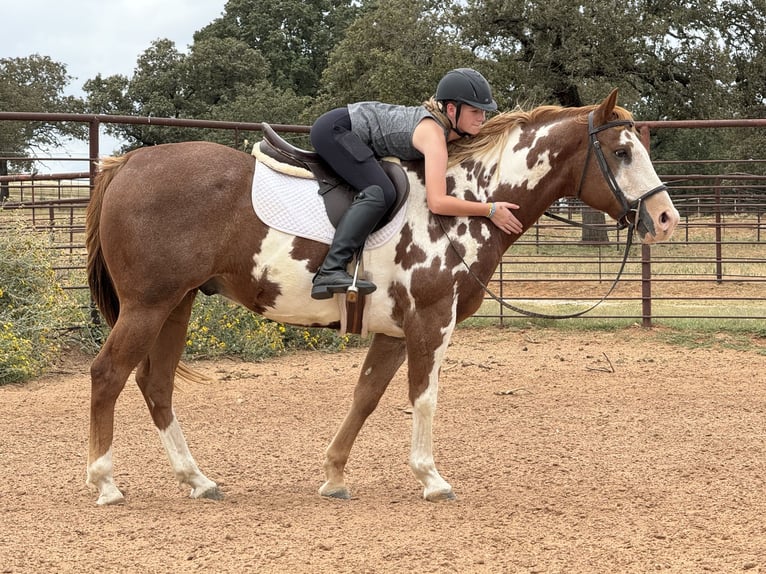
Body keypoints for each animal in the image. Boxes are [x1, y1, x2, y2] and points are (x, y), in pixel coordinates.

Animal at [87, 88, 680, 506]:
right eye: (622, 152)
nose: (666, 218)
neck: (464, 200)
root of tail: (127, 165)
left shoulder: (395, 332)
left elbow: (366, 396)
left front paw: (333, 476)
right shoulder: (432, 323)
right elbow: (424, 398)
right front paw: (431, 478)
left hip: (177, 304)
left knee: (156, 384)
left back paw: (198, 479)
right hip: (149, 305)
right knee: (109, 375)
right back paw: (106, 483)